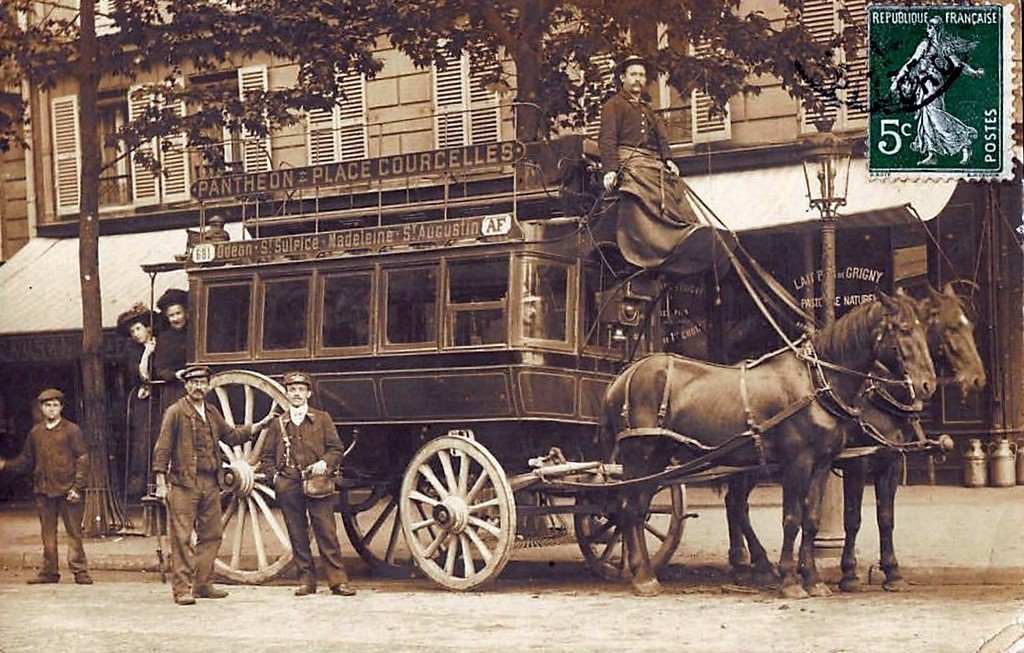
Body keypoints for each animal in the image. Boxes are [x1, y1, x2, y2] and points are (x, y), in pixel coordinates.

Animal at [598, 294, 937, 601]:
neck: (815, 383)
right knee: (630, 509)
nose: (928, 384)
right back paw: (644, 576)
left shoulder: (824, 464)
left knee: (650, 509)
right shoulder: (802, 463)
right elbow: (793, 519)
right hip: (640, 455)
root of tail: (624, 376)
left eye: (925, 328)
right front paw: (792, 580)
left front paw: (813, 579)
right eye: (904, 329)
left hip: (664, 457)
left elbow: (813, 519)